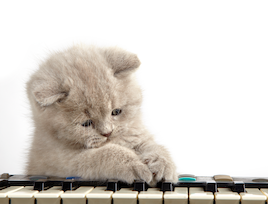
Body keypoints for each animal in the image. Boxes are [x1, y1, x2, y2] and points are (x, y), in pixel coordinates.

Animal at [26, 45, 178, 186]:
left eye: (116, 112)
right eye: (86, 123)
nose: (107, 133)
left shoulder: (136, 133)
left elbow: (153, 145)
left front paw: (162, 163)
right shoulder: (61, 161)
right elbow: (103, 154)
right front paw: (134, 165)